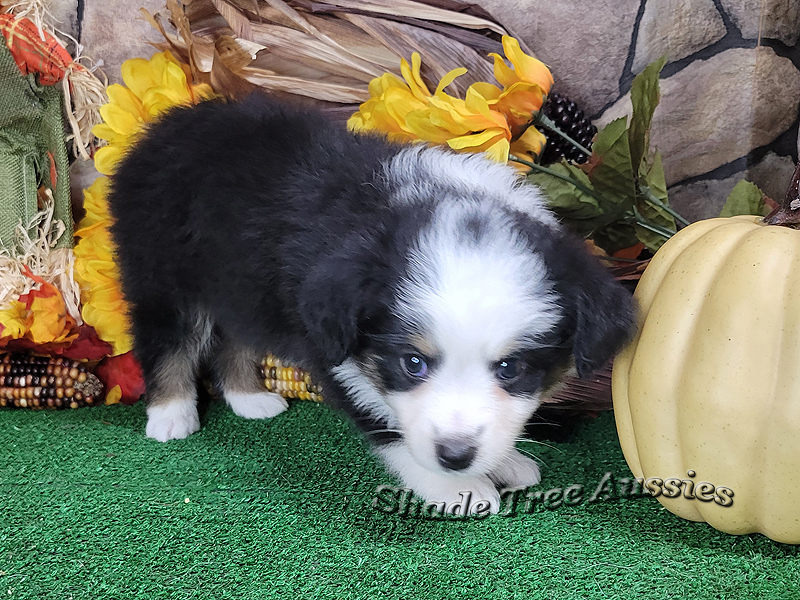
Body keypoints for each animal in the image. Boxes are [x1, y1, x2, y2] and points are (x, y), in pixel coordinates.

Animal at [106, 94, 636, 510]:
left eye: (510, 369)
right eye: (413, 363)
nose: (455, 456)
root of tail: (163, 125)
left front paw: (505, 463)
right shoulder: (337, 352)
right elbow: (386, 423)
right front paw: (456, 489)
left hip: (238, 282)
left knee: (234, 336)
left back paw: (249, 399)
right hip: (162, 272)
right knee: (167, 342)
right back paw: (171, 415)